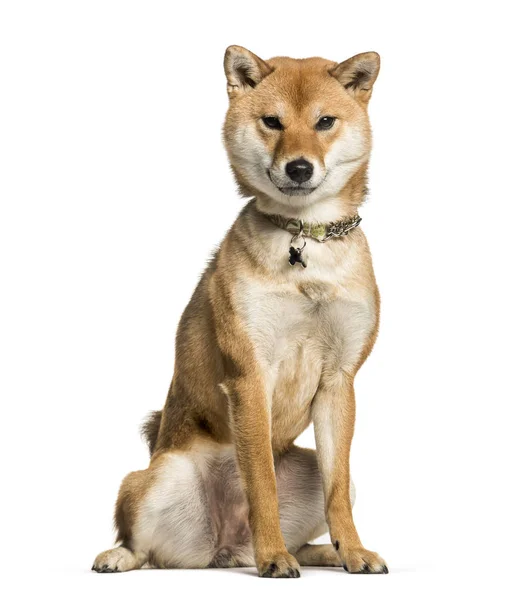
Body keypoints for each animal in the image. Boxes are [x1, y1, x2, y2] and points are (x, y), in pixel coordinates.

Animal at [93, 45, 388, 576]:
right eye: (272, 122)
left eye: (325, 122)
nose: (298, 168)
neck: (305, 239)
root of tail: (223, 549)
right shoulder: (250, 374)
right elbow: (261, 484)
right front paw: (273, 557)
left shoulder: (339, 380)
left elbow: (336, 492)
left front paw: (353, 551)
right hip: (157, 478)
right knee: (145, 547)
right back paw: (122, 556)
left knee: (321, 514)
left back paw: (318, 552)